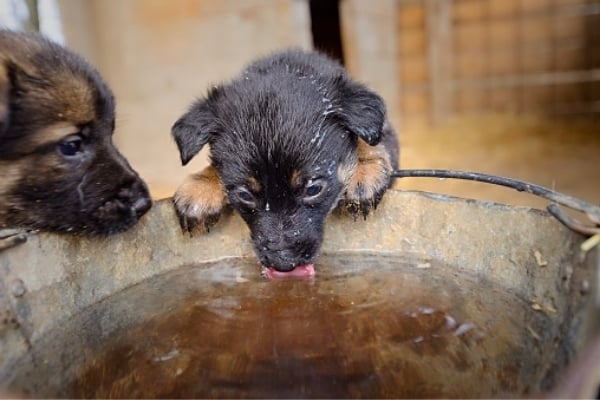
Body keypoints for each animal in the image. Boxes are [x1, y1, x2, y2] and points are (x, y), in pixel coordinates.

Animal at [173, 48, 398, 276]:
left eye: (313, 189)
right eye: (244, 195)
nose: (284, 263)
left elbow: (368, 142)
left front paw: (365, 167)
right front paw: (202, 186)